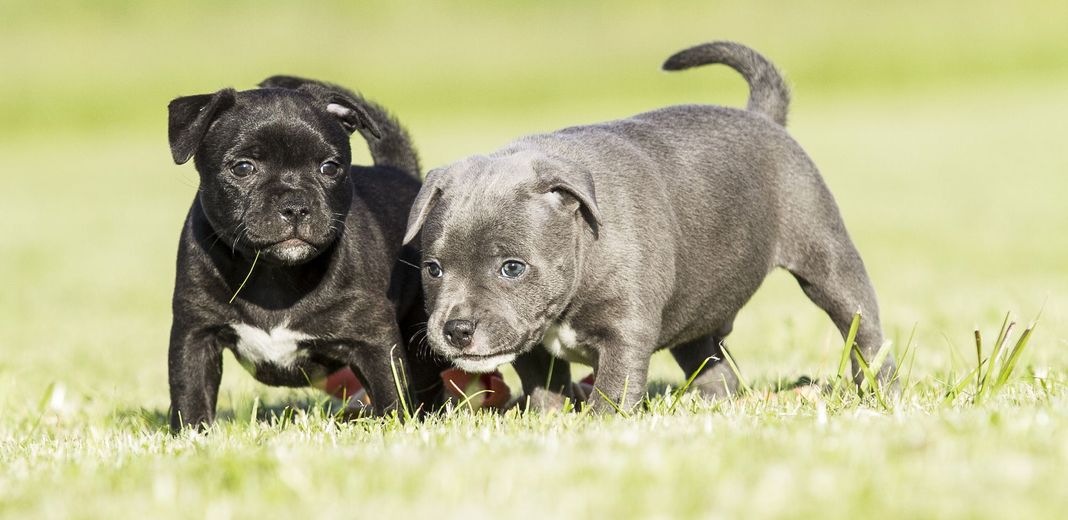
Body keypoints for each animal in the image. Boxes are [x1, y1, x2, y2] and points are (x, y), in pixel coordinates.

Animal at [163, 74, 446, 431]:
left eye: (329, 167)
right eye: (242, 168)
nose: (296, 205)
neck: (273, 272)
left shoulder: (376, 338)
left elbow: (392, 393)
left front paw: (396, 431)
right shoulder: (195, 333)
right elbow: (190, 394)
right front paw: (193, 435)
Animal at [401, 41, 892, 412]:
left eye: (512, 268)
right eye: (432, 269)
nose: (456, 330)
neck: (584, 244)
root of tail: (763, 117)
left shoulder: (626, 330)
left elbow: (612, 388)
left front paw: (597, 425)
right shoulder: (537, 346)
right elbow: (545, 385)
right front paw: (549, 422)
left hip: (827, 261)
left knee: (865, 331)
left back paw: (879, 390)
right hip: (698, 308)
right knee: (713, 363)